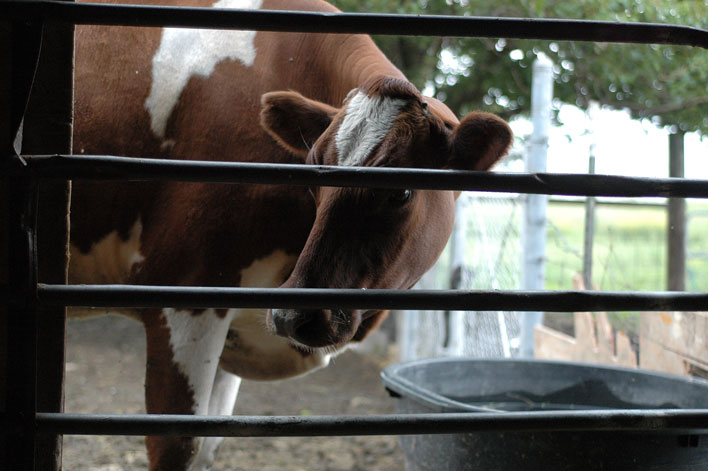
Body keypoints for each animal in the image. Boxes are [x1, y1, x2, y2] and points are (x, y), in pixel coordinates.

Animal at [70, 0, 513, 469]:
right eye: (311, 171)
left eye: (402, 189)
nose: (292, 315)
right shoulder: (183, 292)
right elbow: (176, 445)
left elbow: (208, 443)